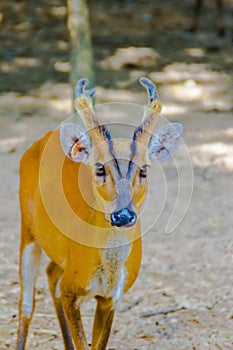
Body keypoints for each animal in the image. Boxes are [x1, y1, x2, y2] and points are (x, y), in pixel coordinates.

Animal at [15, 77, 184, 350]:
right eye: (100, 168)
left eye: (144, 170)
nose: (123, 215)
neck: (107, 273)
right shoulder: (71, 291)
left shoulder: (111, 298)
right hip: (27, 229)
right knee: (26, 303)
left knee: (51, 274)